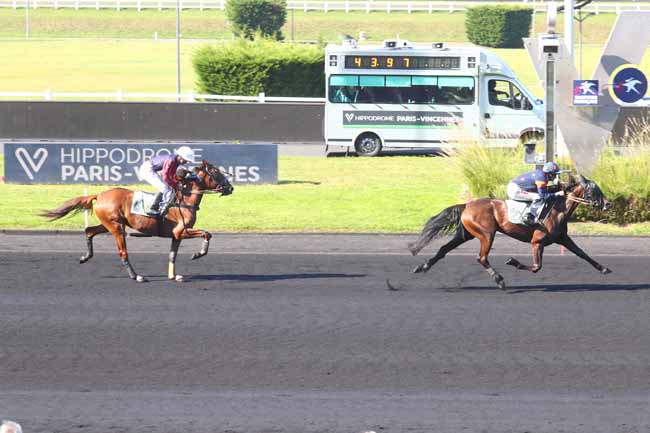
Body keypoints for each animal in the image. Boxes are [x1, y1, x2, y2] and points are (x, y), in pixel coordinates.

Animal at [41, 160, 233, 282]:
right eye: (215, 172)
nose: (230, 188)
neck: (184, 200)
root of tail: (100, 195)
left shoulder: (176, 235)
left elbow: (173, 255)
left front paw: (174, 276)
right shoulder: (182, 231)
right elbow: (207, 234)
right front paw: (197, 254)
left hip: (109, 224)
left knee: (89, 231)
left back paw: (85, 257)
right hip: (117, 227)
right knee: (123, 252)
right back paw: (136, 276)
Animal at [408, 174, 612, 288]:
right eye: (594, 191)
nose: (608, 204)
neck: (557, 208)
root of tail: (467, 205)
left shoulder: (563, 238)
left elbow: (583, 254)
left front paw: (604, 268)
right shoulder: (537, 242)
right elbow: (537, 267)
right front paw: (513, 261)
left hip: (465, 234)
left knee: (444, 250)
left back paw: (422, 267)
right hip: (486, 234)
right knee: (481, 258)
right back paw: (500, 280)